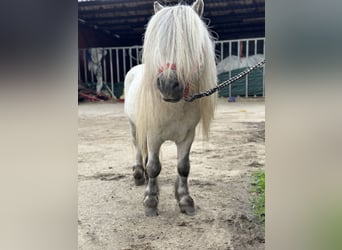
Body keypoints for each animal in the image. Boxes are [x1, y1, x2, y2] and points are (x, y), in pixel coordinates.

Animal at [125, 0, 216, 216]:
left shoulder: (187, 136)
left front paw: (184, 200)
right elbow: (154, 167)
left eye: (191, 46)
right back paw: (139, 175)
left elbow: (183, 167)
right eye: (159, 44)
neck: (175, 108)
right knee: (138, 148)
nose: (168, 84)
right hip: (134, 126)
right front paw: (150, 201)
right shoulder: (153, 135)